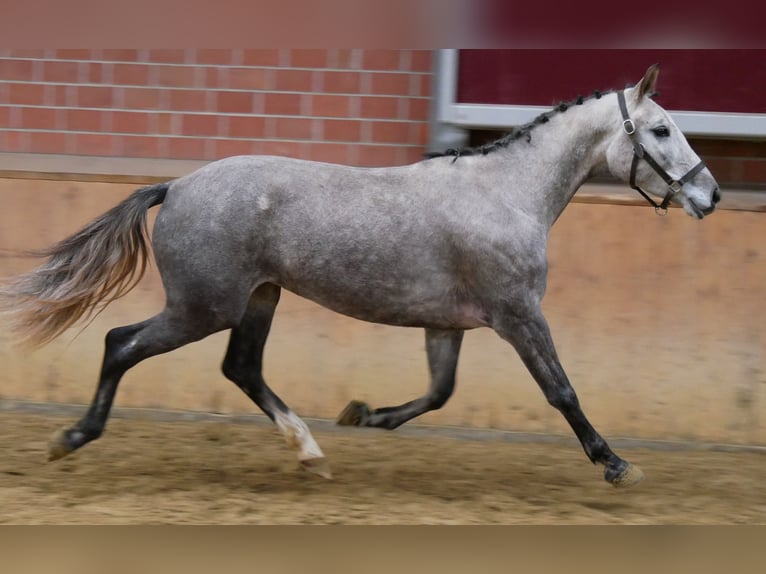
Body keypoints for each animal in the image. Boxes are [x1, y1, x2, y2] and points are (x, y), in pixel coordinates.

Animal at [0, 64, 720, 487]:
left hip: (258, 299)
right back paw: (72, 438)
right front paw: (616, 463)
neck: (505, 194)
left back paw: (310, 450)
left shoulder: (448, 325)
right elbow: (561, 391)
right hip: (203, 307)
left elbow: (440, 393)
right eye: (660, 129)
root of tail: (175, 186)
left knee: (241, 368)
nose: (708, 196)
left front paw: (365, 414)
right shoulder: (519, 315)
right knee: (121, 343)